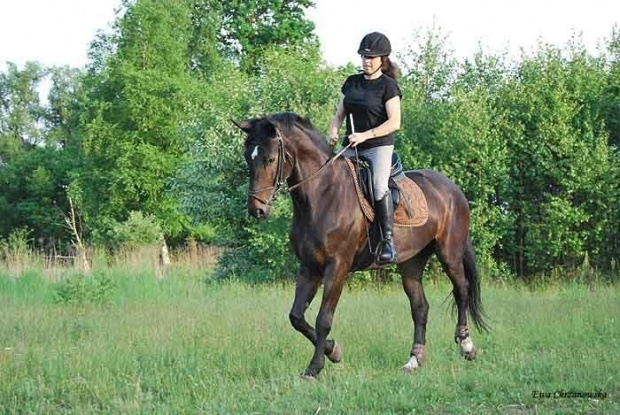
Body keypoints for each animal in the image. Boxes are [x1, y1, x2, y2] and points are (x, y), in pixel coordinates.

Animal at [234, 112, 490, 378]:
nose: (257, 210)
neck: (322, 195)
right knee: (420, 307)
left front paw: (315, 367)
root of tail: (453, 189)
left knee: (461, 290)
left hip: (449, 253)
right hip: (411, 262)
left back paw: (467, 346)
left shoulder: (337, 267)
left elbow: (323, 318)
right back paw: (414, 359)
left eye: (270, 158)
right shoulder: (309, 268)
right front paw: (333, 350)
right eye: (248, 158)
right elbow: (296, 317)